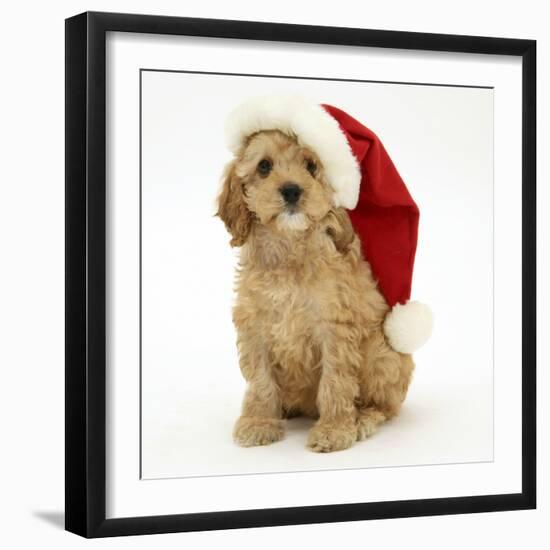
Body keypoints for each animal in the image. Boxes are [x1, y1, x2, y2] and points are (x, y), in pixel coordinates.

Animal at [218, 132, 416, 454]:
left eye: (311, 166)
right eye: (264, 166)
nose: (291, 190)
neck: (288, 249)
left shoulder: (334, 329)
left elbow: (335, 381)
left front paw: (333, 430)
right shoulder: (254, 326)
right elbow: (260, 380)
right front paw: (259, 421)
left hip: (381, 352)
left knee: (385, 406)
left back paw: (362, 418)